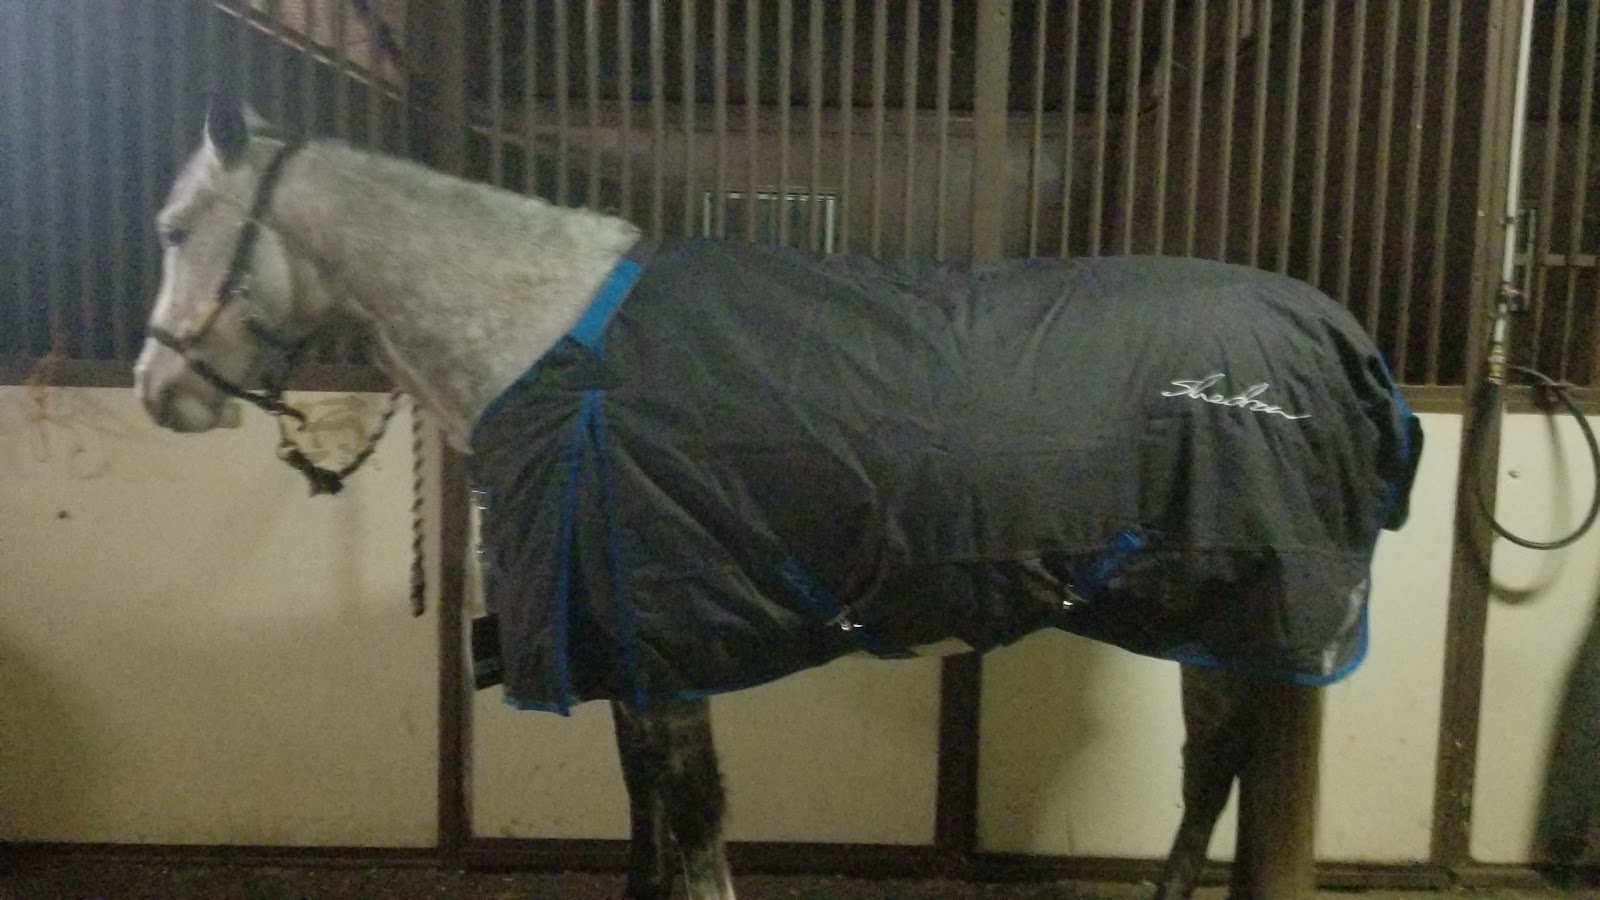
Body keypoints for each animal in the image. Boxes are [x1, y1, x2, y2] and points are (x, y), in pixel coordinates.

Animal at [135, 100, 1421, 900]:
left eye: (177, 226)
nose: (159, 391)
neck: (550, 342)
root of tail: (1334, 334)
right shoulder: (628, 645)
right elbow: (648, 825)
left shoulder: (662, 645)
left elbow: (692, 827)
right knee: (1219, 767)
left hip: (1247, 607)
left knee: (1217, 766)